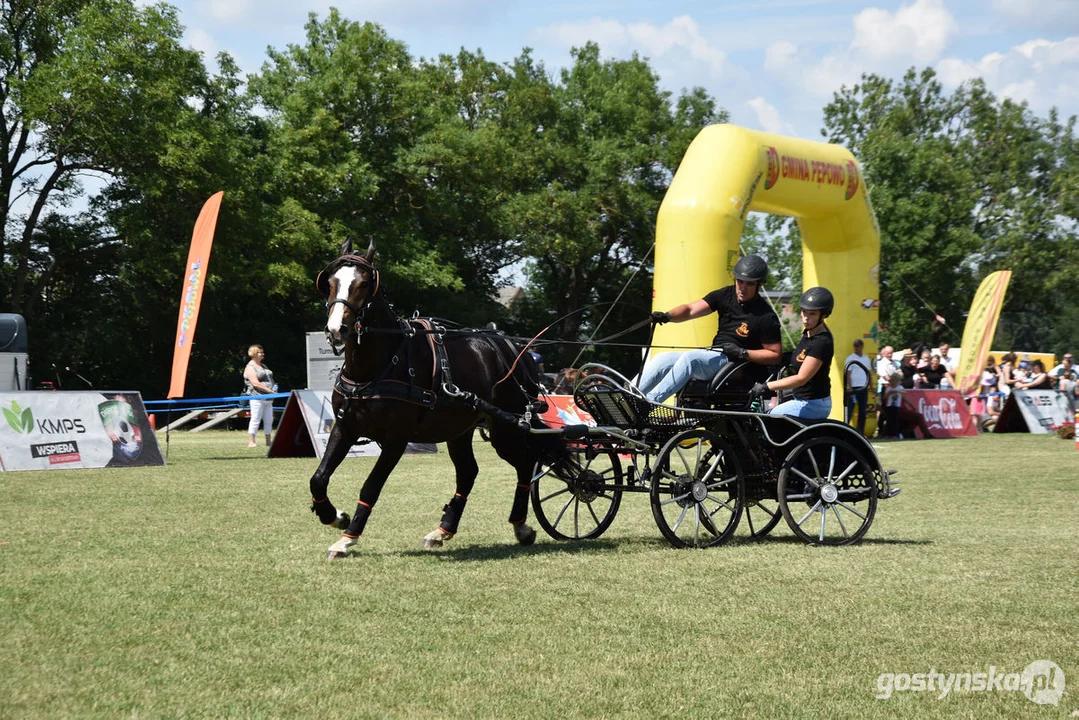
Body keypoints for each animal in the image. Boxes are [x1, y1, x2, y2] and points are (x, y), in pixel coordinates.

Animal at [306, 239, 552, 561]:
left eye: (364, 283)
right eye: (331, 282)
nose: (337, 330)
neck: (378, 364)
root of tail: (513, 347)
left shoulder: (396, 439)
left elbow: (370, 487)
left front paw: (347, 539)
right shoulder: (345, 428)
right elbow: (318, 478)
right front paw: (335, 517)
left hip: (505, 427)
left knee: (525, 463)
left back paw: (521, 526)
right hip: (460, 429)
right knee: (468, 473)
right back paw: (442, 530)